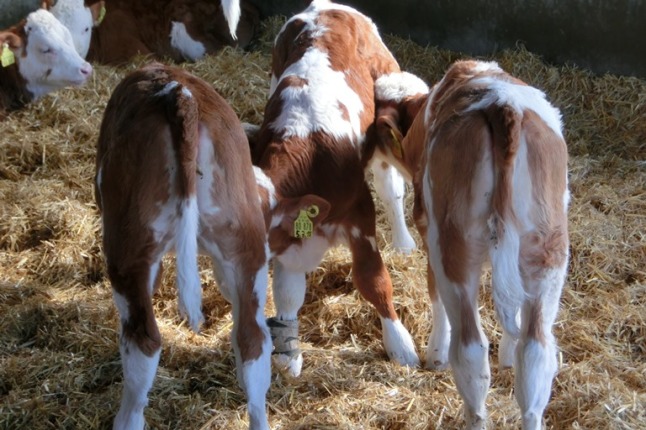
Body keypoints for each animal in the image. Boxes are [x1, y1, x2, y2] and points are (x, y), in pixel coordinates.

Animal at [93, 62, 270, 428]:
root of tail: (179, 91)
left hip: (128, 249)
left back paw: (126, 417)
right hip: (246, 245)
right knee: (252, 341)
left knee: (144, 341)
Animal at [251, 0, 422, 376]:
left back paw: (404, 243)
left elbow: (373, 279)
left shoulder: (360, 213)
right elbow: (287, 291)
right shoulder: (290, 236)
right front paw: (288, 353)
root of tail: (327, 6)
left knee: (392, 192)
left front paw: (400, 345)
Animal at [374, 61, 572, 430]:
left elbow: (433, 292)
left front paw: (436, 352)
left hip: (453, 247)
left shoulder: (428, 229)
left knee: (470, 351)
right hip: (548, 251)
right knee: (536, 352)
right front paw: (507, 355)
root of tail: (504, 106)